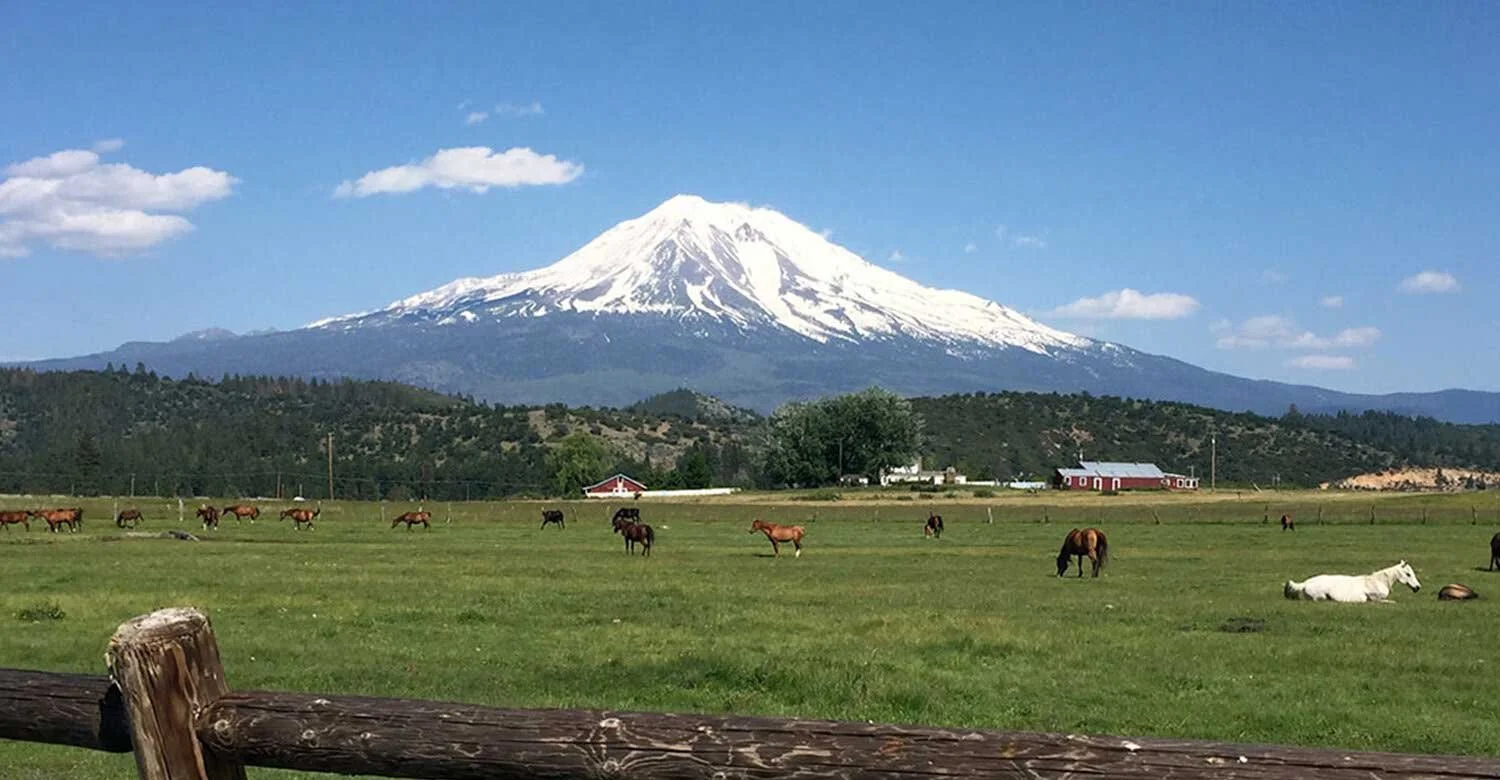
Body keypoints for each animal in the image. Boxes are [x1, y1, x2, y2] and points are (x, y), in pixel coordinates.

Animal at [1284, 561, 1422, 603]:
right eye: (1408, 574)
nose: (1417, 587)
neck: (1378, 581)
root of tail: (1304, 583)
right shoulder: (1374, 599)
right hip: (1320, 596)